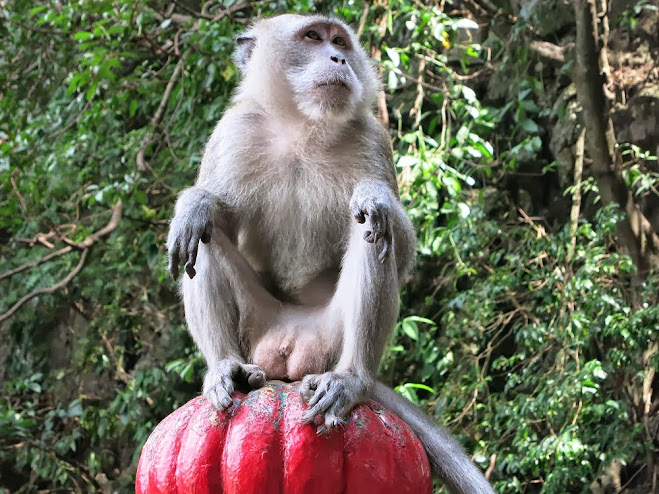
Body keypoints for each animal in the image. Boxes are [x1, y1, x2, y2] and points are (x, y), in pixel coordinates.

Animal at [166, 13, 496, 492]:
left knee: (371, 234)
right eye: (312, 37)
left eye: (339, 41)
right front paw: (195, 205)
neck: (304, 127)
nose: (339, 58)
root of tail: (290, 360)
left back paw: (351, 380)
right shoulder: (233, 131)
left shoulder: (372, 137)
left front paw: (374, 195)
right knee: (203, 240)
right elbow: (215, 218)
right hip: (258, 328)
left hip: (329, 338)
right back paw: (227, 367)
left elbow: (400, 246)